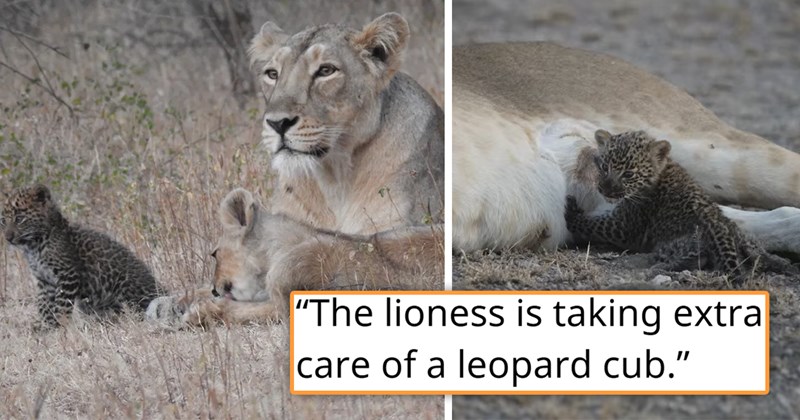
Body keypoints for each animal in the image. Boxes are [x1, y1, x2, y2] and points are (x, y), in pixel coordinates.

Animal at [1, 184, 163, 330]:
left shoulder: (68, 275)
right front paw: (46, 328)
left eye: (19, 219)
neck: (34, 246)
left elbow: (61, 306)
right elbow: (44, 306)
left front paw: (61, 328)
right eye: (3, 221)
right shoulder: (45, 281)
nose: (7, 237)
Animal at [146, 188, 442, 327]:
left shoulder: (287, 301)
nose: (215, 288)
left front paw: (198, 314)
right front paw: (165, 305)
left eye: (214, 253)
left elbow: (236, 311)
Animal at [564, 129, 796, 283]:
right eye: (604, 167)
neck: (662, 168)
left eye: (628, 174)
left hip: (677, 244)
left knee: (696, 257)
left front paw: (572, 211)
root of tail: (719, 227)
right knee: (759, 255)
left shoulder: (624, 226)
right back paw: (781, 263)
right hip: (747, 241)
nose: (605, 189)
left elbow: (594, 224)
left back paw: (660, 268)